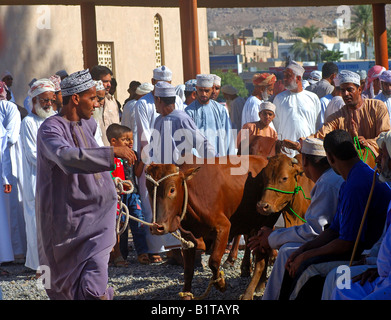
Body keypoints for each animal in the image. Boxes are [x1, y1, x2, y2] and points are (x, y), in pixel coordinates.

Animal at [145, 155, 282, 300]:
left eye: (172, 189)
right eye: (149, 190)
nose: (157, 227)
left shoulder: (224, 227)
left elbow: (214, 260)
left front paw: (221, 283)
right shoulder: (188, 238)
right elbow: (188, 271)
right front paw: (187, 294)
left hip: (263, 225)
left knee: (261, 262)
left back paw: (249, 292)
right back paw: (260, 284)